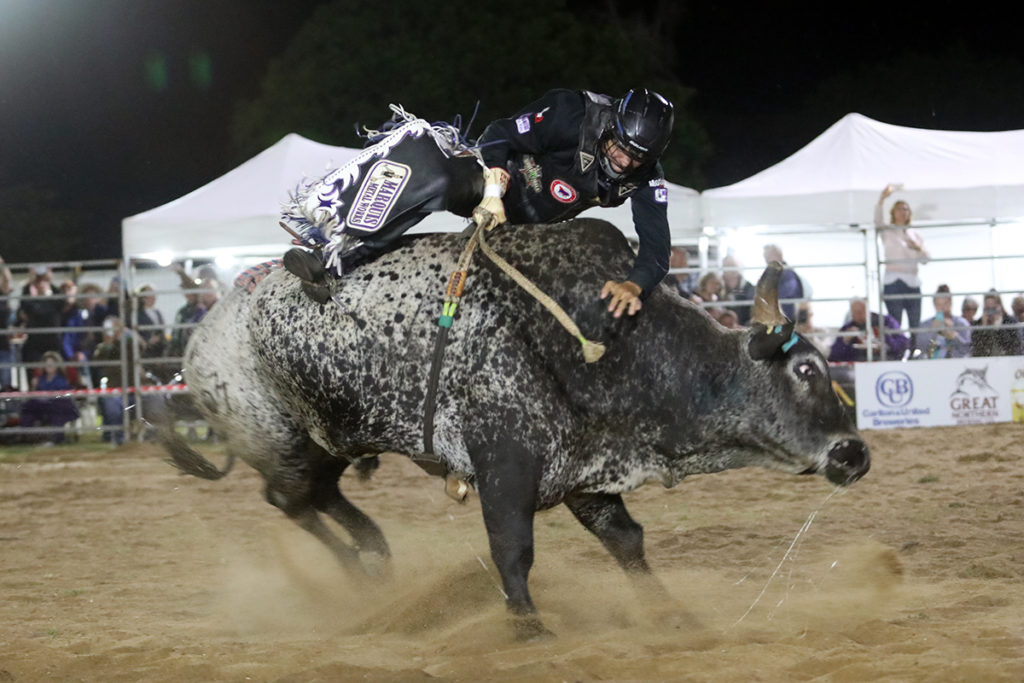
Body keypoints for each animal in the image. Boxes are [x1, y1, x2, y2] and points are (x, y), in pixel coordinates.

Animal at [159, 219, 864, 643]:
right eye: (806, 369)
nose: (855, 454)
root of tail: (199, 344)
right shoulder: (506, 464)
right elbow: (512, 549)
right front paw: (528, 625)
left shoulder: (586, 470)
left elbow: (627, 542)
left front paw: (670, 613)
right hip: (278, 443)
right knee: (292, 500)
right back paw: (358, 571)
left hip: (326, 442)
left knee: (319, 497)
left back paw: (374, 559)